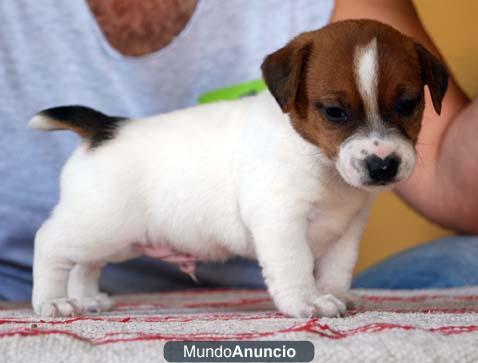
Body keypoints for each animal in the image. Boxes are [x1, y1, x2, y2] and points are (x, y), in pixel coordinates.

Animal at [29, 19, 448, 318]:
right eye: (334, 111)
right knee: (50, 244)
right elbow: (296, 265)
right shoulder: (280, 221)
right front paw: (307, 302)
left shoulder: (347, 231)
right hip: (97, 225)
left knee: (85, 265)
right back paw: (52, 302)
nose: (383, 165)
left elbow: (336, 269)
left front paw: (334, 294)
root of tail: (103, 129)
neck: (315, 158)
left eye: (408, 104)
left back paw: (87, 299)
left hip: (116, 240)